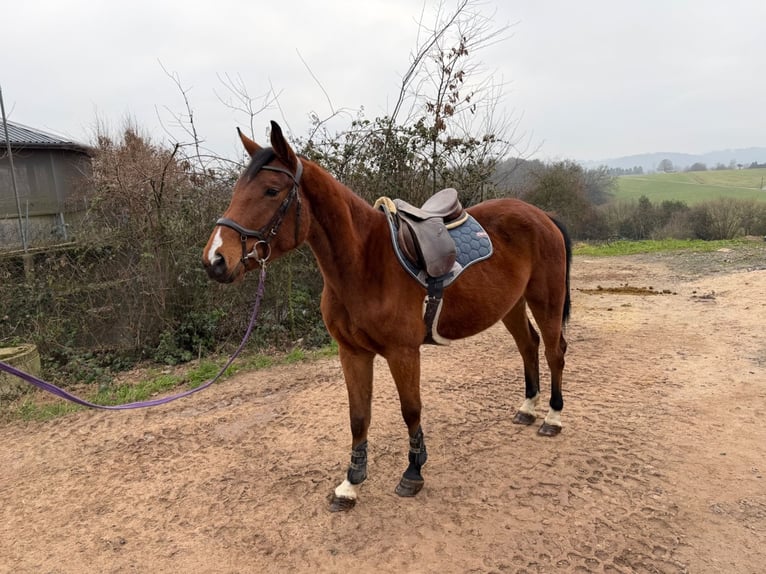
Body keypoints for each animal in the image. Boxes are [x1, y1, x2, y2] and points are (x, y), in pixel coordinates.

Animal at [203, 121, 572, 512]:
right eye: (236, 190)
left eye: (271, 191)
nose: (215, 259)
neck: (365, 262)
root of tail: (543, 216)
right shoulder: (352, 353)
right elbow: (358, 416)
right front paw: (350, 484)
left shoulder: (403, 353)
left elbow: (411, 410)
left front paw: (413, 472)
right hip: (512, 305)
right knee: (528, 346)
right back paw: (528, 409)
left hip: (545, 300)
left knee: (554, 351)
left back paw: (552, 417)